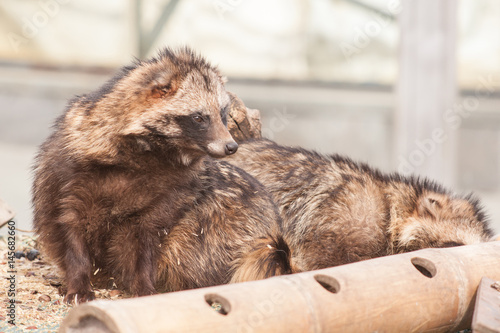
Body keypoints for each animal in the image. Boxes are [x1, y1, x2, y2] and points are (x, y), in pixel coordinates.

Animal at [32, 47, 292, 304]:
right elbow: (69, 227)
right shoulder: (69, 173)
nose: (231, 147)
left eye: (223, 115)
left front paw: (144, 284)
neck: (149, 155)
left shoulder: (173, 192)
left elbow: (147, 238)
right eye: (199, 118)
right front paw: (79, 279)